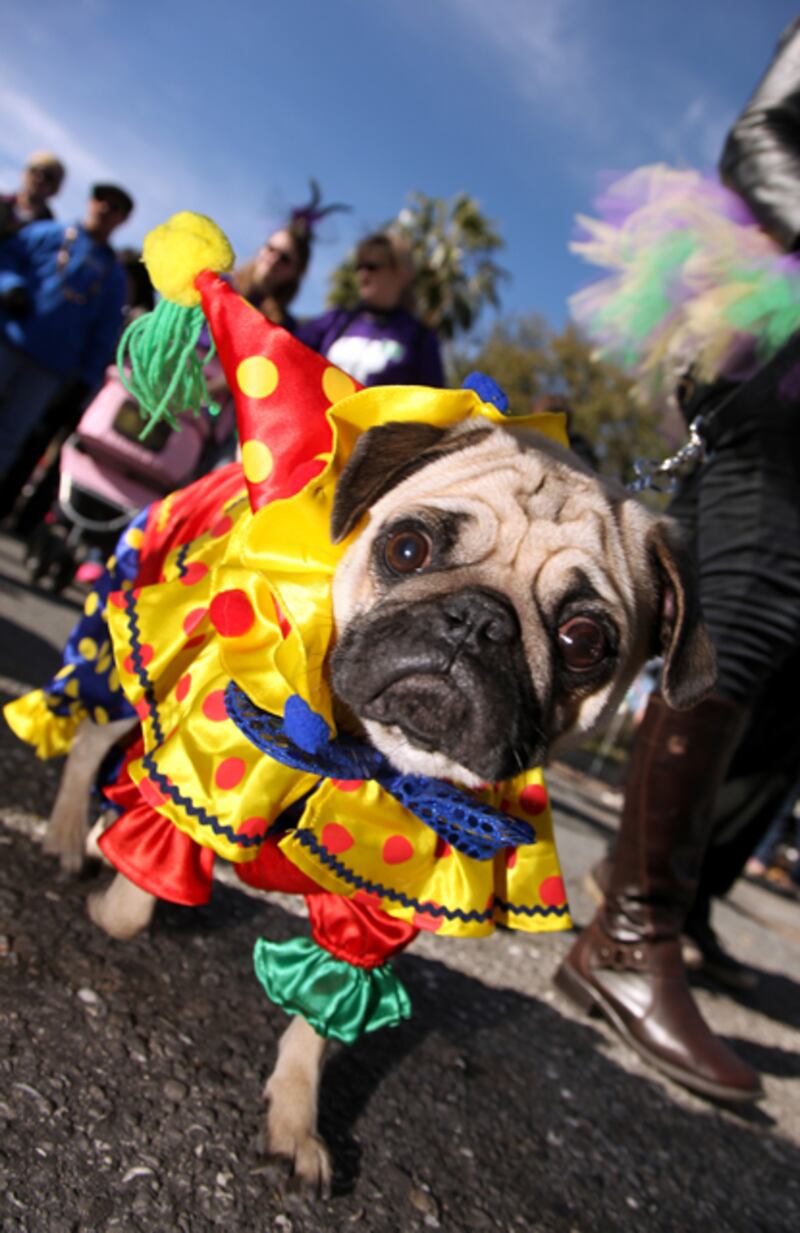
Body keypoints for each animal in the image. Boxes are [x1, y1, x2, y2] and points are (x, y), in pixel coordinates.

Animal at [28, 414, 714, 1193]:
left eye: (584, 640)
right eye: (407, 547)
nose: (478, 620)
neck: (373, 761)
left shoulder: (376, 908)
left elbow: (325, 1009)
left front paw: (295, 1120)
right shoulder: (208, 776)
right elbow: (138, 894)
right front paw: (111, 895)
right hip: (128, 658)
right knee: (92, 737)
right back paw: (68, 835)